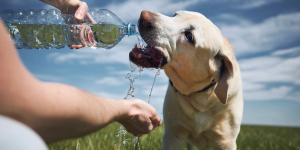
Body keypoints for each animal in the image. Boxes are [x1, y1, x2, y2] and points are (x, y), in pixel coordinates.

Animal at [130, 9, 243, 149]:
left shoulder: (226, 142)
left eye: (189, 36)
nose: (143, 16)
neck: (201, 99)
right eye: (175, 15)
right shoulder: (172, 136)